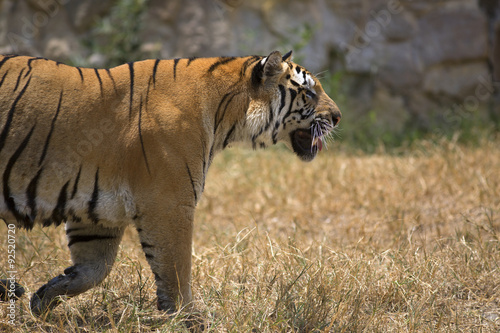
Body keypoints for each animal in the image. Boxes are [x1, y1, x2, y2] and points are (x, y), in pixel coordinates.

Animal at [0, 50, 340, 316]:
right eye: (309, 93)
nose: (337, 117)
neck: (227, 116)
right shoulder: (169, 203)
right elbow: (176, 270)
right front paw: (186, 318)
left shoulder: (98, 212)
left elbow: (92, 270)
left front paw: (43, 299)